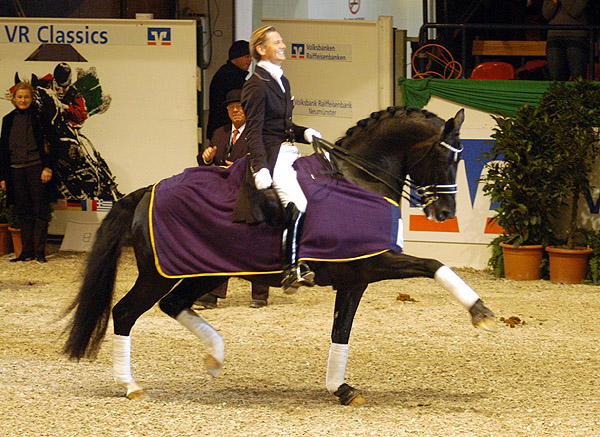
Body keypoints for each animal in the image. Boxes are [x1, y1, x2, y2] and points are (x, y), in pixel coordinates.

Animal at [61, 106, 494, 406]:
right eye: (443, 157)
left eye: (459, 159)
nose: (445, 213)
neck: (358, 181)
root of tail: (147, 191)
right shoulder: (373, 263)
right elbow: (434, 264)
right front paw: (481, 311)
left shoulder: (355, 279)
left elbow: (341, 332)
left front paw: (340, 388)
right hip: (158, 274)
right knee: (125, 313)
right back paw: (131, 386)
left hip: (201, 272)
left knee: (173, 305)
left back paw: (215, 355)